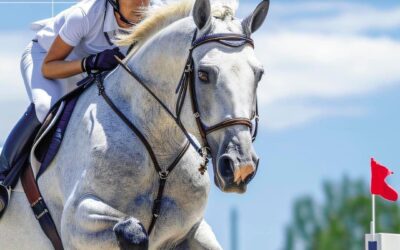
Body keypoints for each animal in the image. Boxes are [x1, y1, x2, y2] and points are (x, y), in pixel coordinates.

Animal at [0, 0, 270, 248]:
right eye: (203, 74)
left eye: (259, 74)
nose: (239, 166)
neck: (158, 142)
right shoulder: (77, 221)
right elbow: (133, 232)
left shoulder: (193, 228)